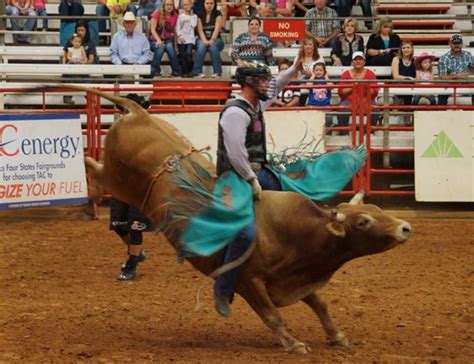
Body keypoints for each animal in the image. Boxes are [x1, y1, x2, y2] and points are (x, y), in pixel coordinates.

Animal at [77, 86, 412, 352]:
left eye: (377, 210)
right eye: (363, 222)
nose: (405, 227)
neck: (297, 233)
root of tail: (138, 113)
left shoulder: (296, 277)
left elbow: (320, 304)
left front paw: (337, 336)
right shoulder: (248, 280)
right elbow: (272, 315)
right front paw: (294, 344)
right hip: (119, 180)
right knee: (94, 165)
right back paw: (90, 188)